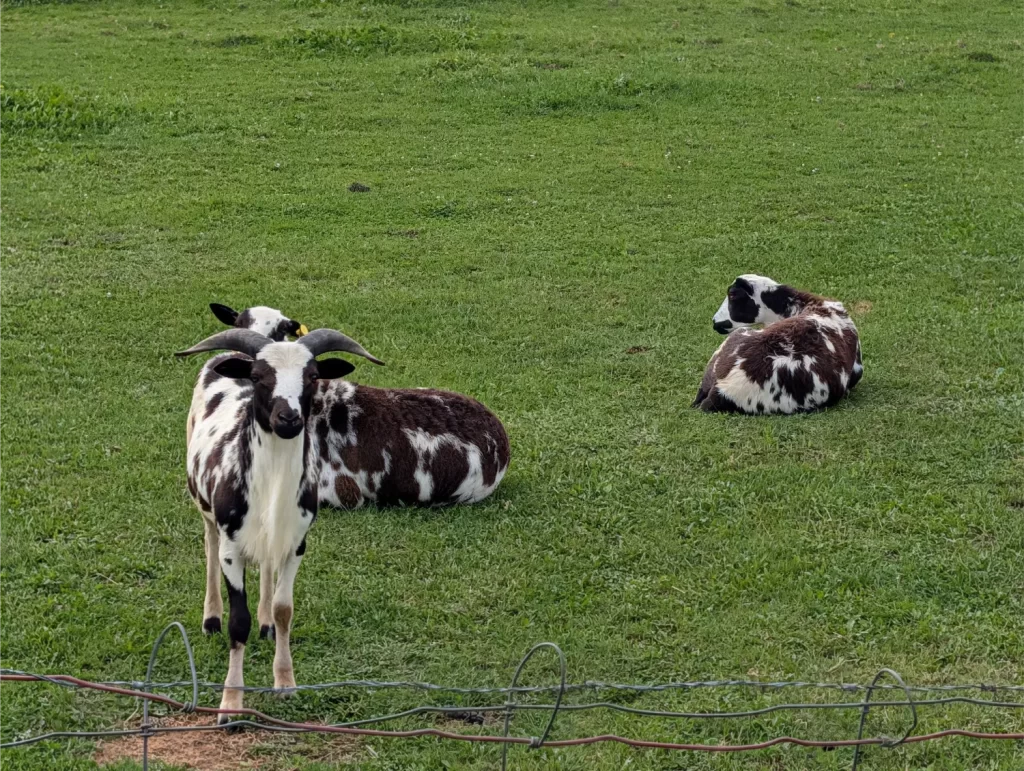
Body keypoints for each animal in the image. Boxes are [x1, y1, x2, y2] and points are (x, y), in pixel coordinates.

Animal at [178, 327, 383, 722]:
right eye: (258, 376)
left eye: (313, 376)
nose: (288, 418)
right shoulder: (232, 548)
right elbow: (237, 623)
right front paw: (230, 705)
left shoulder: (296, 544)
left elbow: (284, 609)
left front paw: (285, 683)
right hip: (205, 506)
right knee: (208, 545)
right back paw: (211, 618)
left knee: (267, 571)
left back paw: (266, 626)